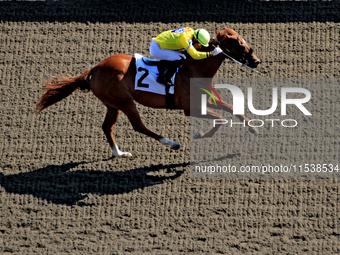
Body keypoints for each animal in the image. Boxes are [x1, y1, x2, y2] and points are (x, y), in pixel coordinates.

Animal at [35, 26, 260, 156]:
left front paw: (253, 128)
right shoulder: (190, 108)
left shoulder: (204, 100)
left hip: (112, 104)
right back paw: (172, 143)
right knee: (138, 126)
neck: (195, 68)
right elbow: (220, 119)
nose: (257, 61)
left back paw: (119, 153)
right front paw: (199, 135)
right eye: (241, 44)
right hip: (125, 102)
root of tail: (95, 68)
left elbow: (231, 108)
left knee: (107, 127)